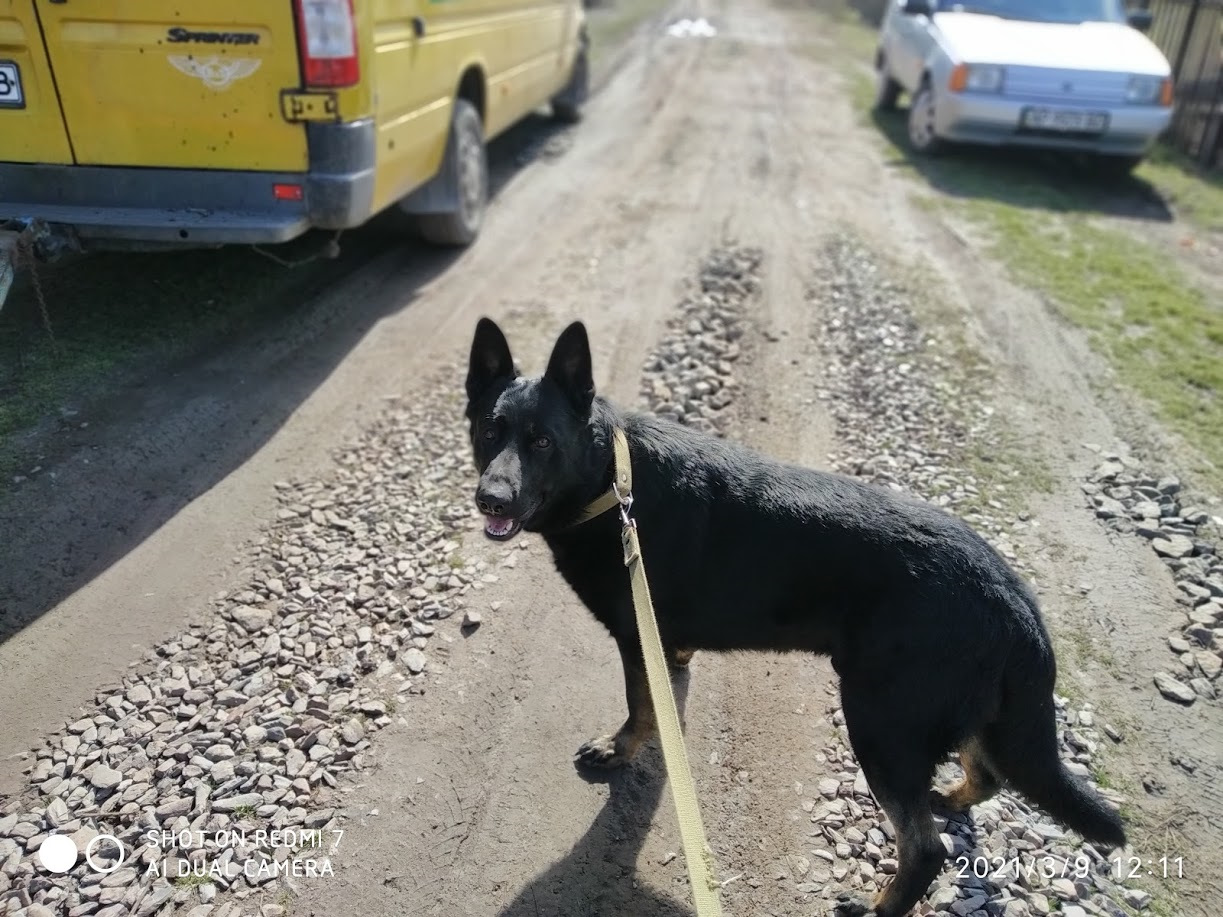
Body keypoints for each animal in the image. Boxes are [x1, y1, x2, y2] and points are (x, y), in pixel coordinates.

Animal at [459, 317, 1125, 917]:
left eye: (542, 441)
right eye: (490, 431)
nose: (491, 499)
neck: (609, 481)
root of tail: (1016, 601)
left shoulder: (636, 639)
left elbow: (640, 709)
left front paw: (619, 749)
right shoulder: (664, 645)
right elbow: (664, 699)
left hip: (881, 724)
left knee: (926, 849)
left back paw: (880, 906)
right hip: (945, 717)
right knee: (987, 776)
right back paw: (952, 799)